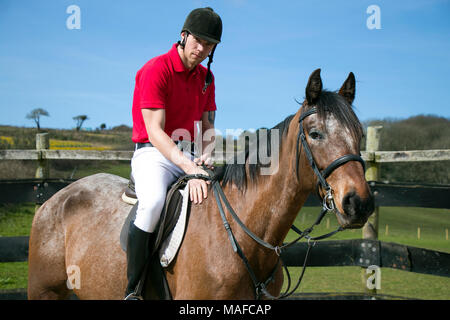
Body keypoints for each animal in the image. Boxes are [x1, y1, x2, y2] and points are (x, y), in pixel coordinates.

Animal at [26, 68, 374, 300]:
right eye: (315, 133)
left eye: (359, 133)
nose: (359, 204)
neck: (243, 235)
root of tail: (55, 199)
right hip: (44, 291)